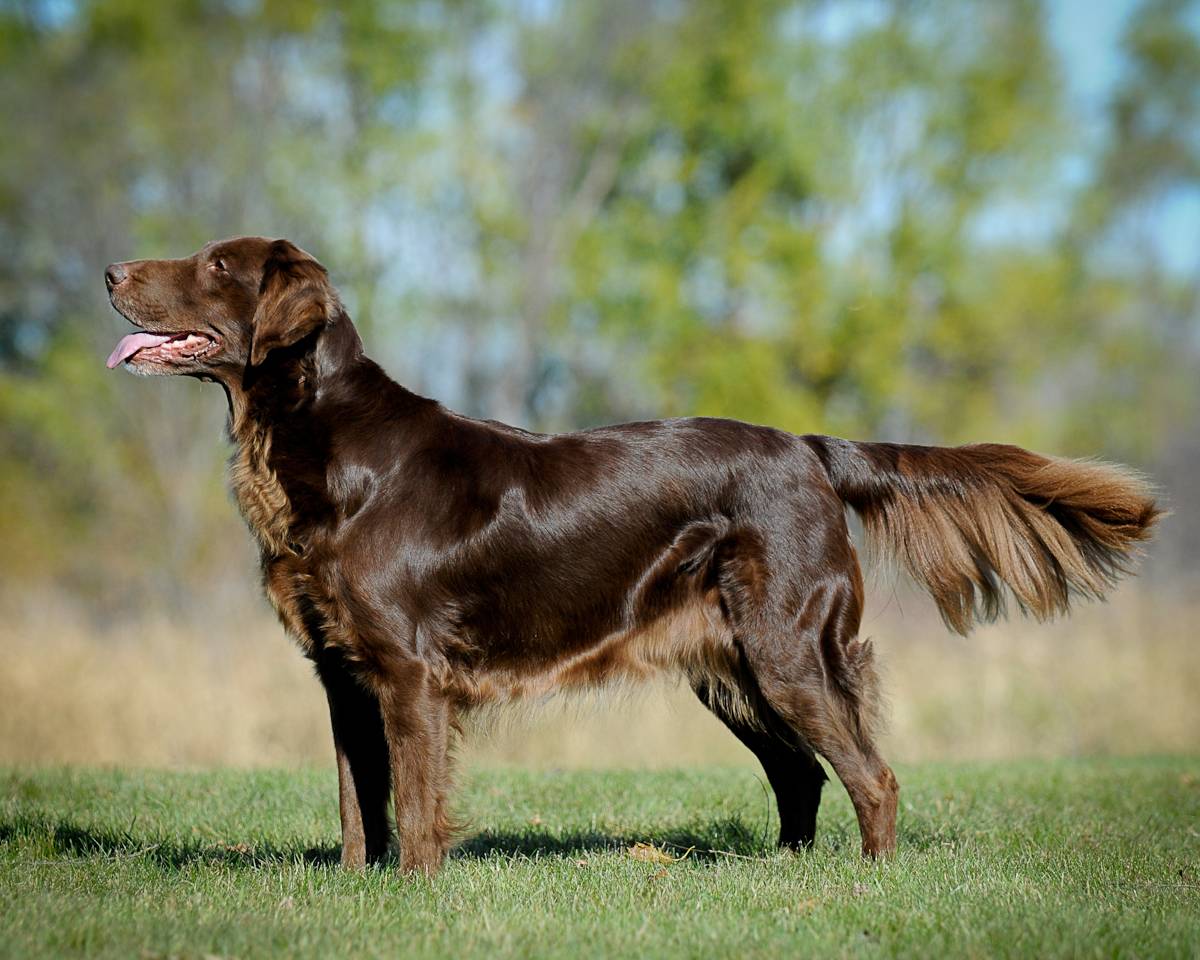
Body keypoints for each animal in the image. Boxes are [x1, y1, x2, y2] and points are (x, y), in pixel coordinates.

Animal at [105, 237, 1161, 868]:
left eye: (215, 264)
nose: (110, 273)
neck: (318, 447)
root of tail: (809, 447)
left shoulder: (409, 672)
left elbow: (412, 805)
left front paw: (414, 893)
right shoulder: (341, 672)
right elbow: (355, 807)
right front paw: (358, 893)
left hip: (787, 647)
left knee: (872, 774)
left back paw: (868, 881)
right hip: (732, 668)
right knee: (805, 774)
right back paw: (787, 877)